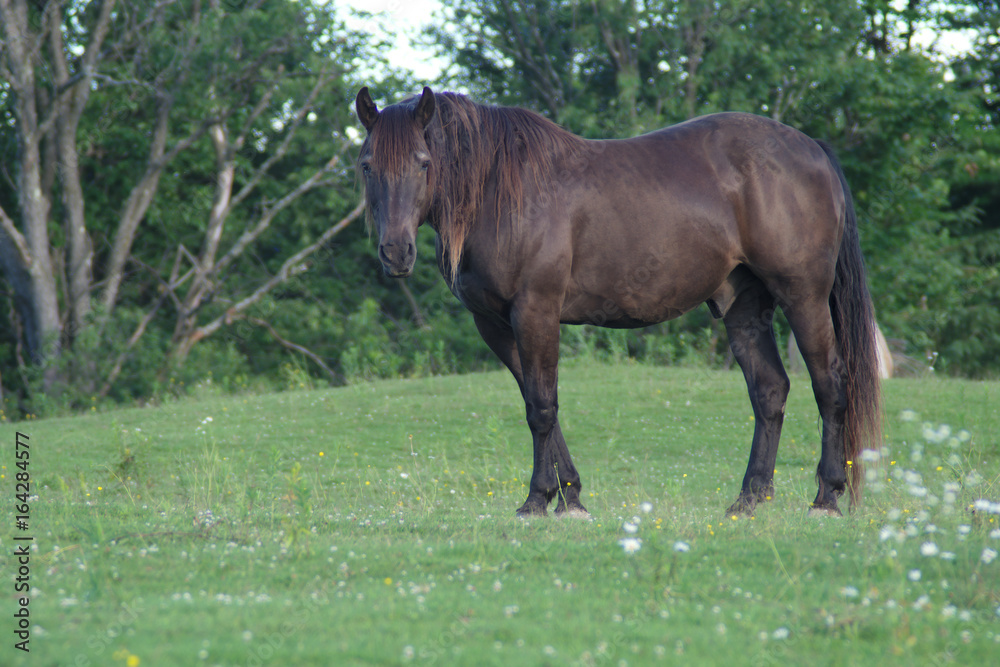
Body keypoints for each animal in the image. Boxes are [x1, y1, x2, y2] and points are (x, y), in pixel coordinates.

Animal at [354, 86, 882, 518]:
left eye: (424, 161)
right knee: (770, 391)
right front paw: (569, 497)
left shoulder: (535, 312)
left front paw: (537, 500)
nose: (395, 252)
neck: (498, 191)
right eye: (366, 166)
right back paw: (749, 499)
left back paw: (826, 497)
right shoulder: (496, 324)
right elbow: (537, 402)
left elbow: (541, 407)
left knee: (830, 386)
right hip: (744, 306)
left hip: (804, 297)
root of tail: (812, 149)